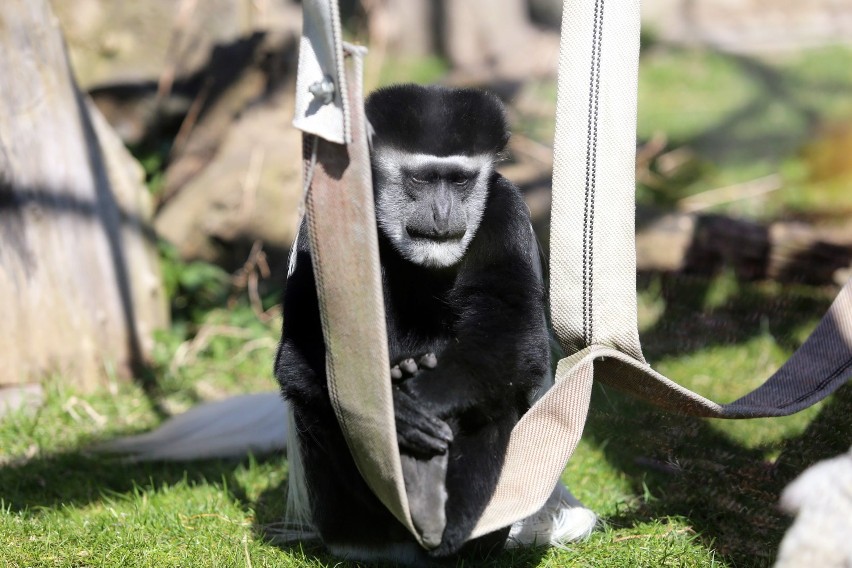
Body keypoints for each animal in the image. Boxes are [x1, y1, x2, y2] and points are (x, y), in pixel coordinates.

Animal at [274, 84, 552, 564]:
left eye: (459, 181)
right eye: (421, 180)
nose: (442, 214)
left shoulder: (506, 210)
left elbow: (514, 331)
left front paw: (427, 394)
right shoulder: (317, 233)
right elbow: (298, 355)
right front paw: (398, 410)